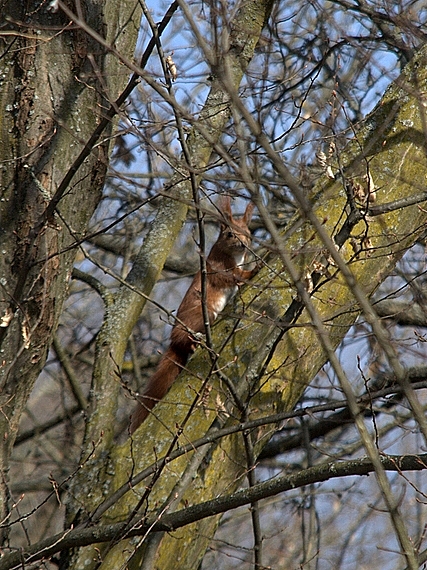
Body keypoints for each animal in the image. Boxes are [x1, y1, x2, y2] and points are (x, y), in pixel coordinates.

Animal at [129, 195, 260, 430]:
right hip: (202, 314)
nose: (244, 244)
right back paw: (194, 342)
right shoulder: (217, 269)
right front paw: (253, 269)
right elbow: (235, 277)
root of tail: (174, 342)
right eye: (229, 234)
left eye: (248, 232)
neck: (232, 256)